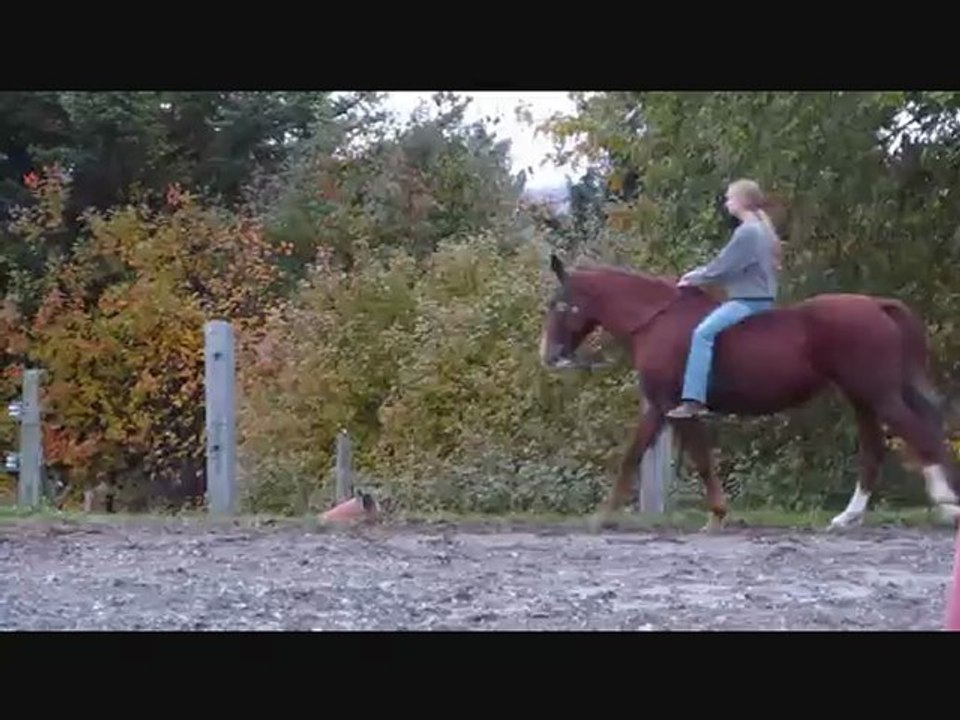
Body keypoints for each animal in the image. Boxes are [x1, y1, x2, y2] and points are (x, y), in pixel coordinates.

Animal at [539, 252, 960, 532]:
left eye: (559, 305)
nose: (551, 355)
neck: (656, 320)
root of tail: (877, 305)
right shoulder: (661, 409)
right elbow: (640, 455)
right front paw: (604, 514)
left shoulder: (673, 405)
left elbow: (689, 458)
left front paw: (714, 514)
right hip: (864, 399)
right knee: (877, 449)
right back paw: (849, 516)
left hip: (877, 395)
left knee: (918, 435)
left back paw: (946, 505)